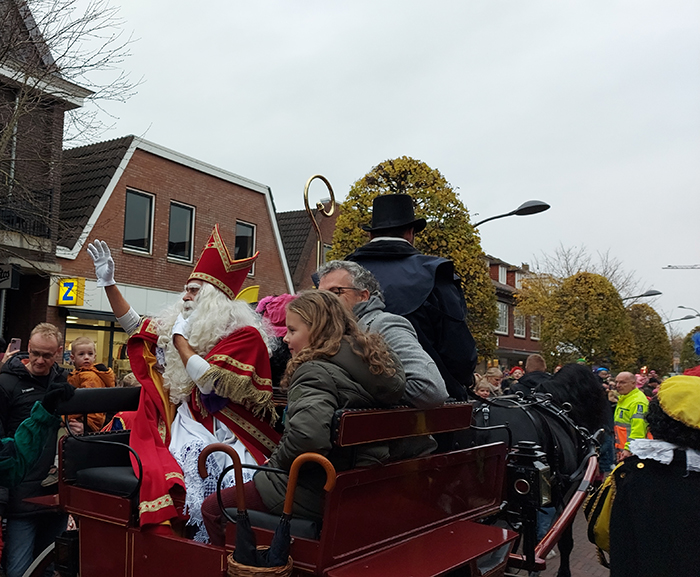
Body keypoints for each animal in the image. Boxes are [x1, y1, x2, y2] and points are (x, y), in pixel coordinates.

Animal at [470, 364, 612, 576]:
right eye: (599, 397)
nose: (604, 432)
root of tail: (484, 419)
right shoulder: (568, 494)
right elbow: (564, 540)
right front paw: (563, 571)